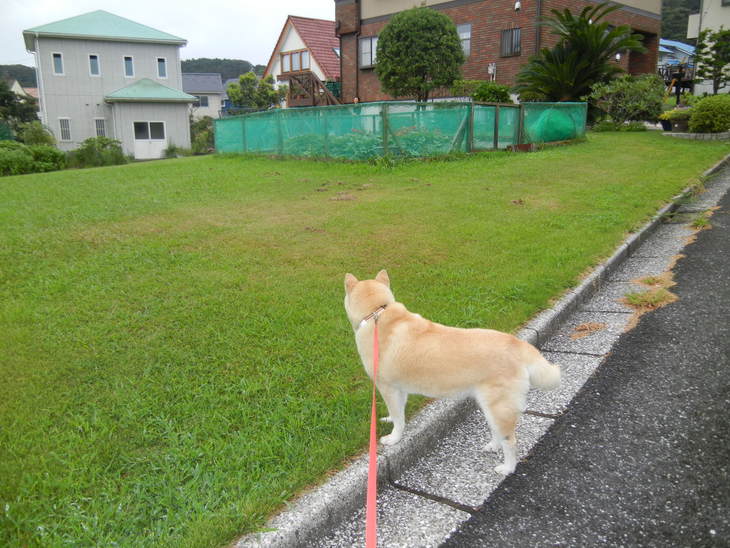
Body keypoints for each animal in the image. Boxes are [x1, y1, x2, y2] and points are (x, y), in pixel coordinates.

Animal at [344, 270, 560, 476]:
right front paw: (390, 419)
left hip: (500, 407)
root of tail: (517, 344)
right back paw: (493, 446)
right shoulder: (399, 388)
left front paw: (394, 438)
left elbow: (398, 418)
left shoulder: (387, 387)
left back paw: (507, 468)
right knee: (498, 432)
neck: (376, 313)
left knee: (510, 441)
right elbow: (398, 412)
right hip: (489, 406)